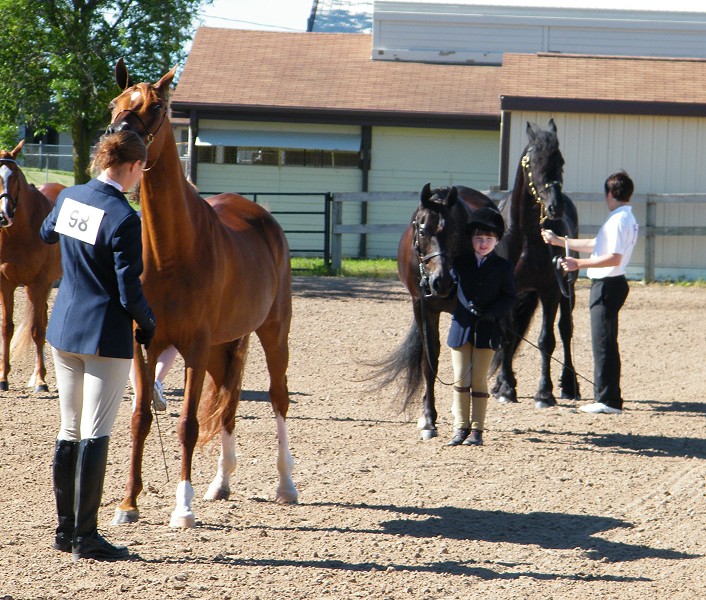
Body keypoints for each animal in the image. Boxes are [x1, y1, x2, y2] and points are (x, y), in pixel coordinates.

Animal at [107, 59, 297, 528]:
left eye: (157, 107)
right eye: (114, 103)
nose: (118, 139)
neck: (172, 252)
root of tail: (262, 217)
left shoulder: (192, 346)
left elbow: (187, 426)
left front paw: (183, 507)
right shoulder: (144, 344)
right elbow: (140, 419)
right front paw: (128, 504)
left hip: (273, 333)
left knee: (278, 399)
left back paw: (286, 486)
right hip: (221, 345)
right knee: (228, 404)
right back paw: (221, 482)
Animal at [379, 182, 497, 440]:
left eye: (455, 232)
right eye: (423, 231)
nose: (441, 282)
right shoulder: (422, 308)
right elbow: (429, 360)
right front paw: (428, 419)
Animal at [491, 119, 580, 408]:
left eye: (560, 161)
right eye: (534, 161)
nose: (555, 207)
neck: (525, 236)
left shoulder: (550, 292)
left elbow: (546, 340)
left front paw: (544, 393)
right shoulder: (508, 292)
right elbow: (508, 337)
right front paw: (507, 388)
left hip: (568, 290)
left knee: (565, 330)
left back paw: (570, 384)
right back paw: (499, 383)